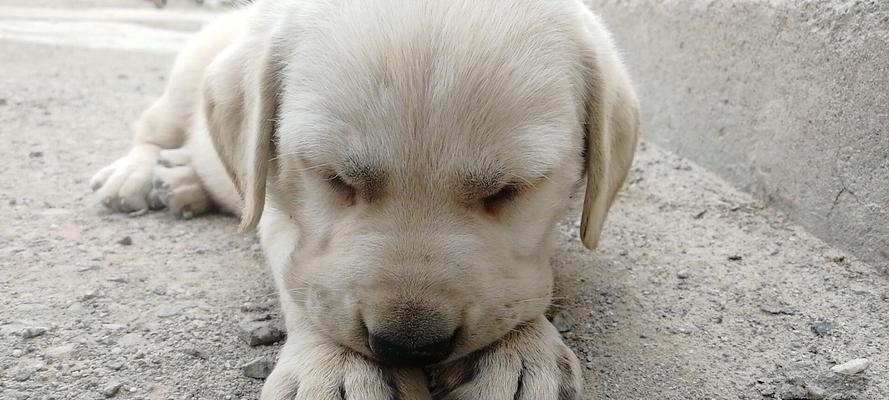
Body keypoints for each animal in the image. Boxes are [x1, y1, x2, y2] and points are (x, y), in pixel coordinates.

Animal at [92, 0, 640, 396]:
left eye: (507, 191)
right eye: (336, 178)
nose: (408, 346)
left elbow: (522, 280)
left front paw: (519, 349)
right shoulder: (281, 209)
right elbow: (305, 283)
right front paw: (336, 364)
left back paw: (182, 181)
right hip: (184, 81)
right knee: (153, 129)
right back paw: (135, 175)